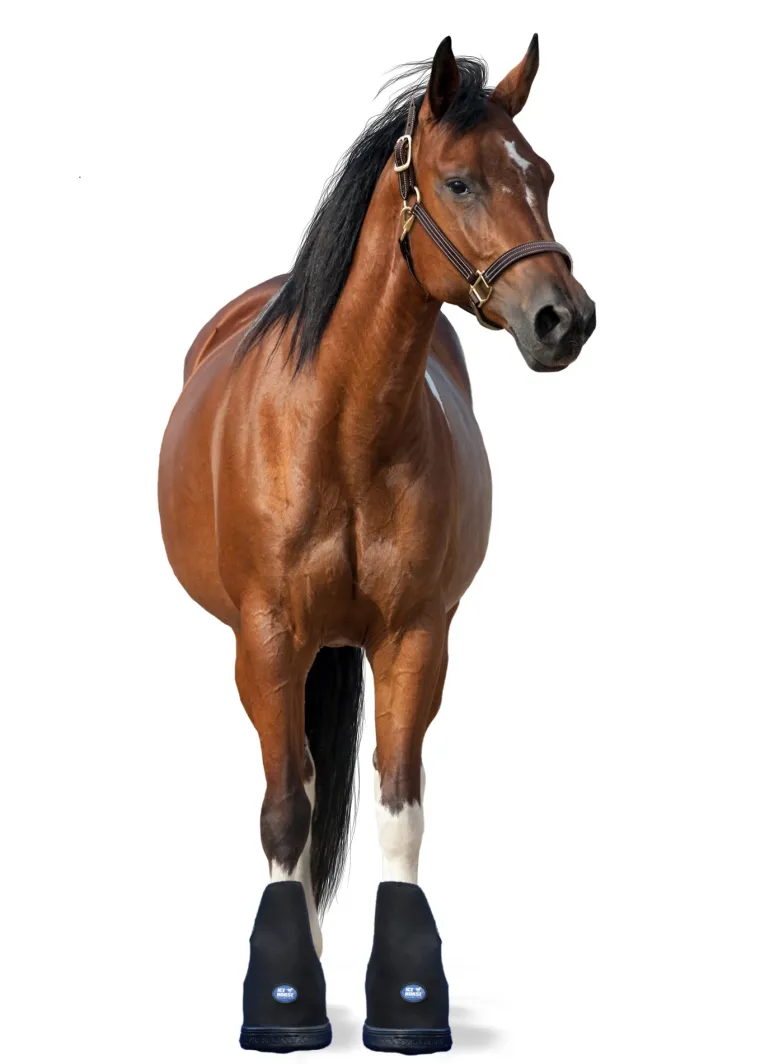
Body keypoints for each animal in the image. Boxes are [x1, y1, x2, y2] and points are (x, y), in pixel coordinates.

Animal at [158, 35, 595, 1054]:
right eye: (460, 181)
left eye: (544, 175)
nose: (565, 318)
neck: (341, 429)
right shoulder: (267, 639)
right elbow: (287, 810)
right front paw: (284, 1000)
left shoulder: (414, 638)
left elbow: (400, 809)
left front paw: (404, 1001)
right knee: (303, 792)